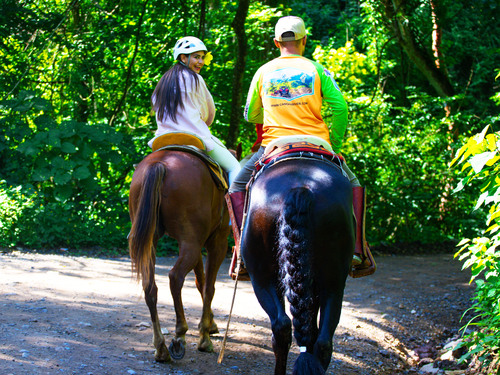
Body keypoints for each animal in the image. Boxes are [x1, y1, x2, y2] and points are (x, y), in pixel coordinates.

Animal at [129, 149, 230, 362]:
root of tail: (160, 163)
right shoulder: (217, 242)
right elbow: (209, 287)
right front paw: (204, 337)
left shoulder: (196, 245)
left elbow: (201, 282)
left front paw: (210, 324)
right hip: (192, 244)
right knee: (175, 278)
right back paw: (179, 336)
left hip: (155, 243)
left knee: (150, 287)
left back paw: (160, 347)